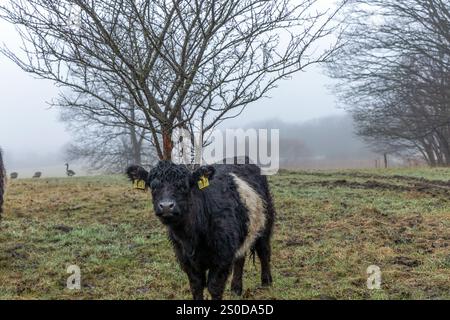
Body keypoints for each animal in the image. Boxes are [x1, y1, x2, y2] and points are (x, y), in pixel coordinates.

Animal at [125, 160, 276, 300]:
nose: (167, 206)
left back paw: (266, 282)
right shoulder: (186, 259)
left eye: (184, 186)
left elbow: (214, 287)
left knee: (264, 251)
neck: (192, 237)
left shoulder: (222, 257)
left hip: (265, 222)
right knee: (240, 257)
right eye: (153, 187)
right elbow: (196, 286)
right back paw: (236, 289)